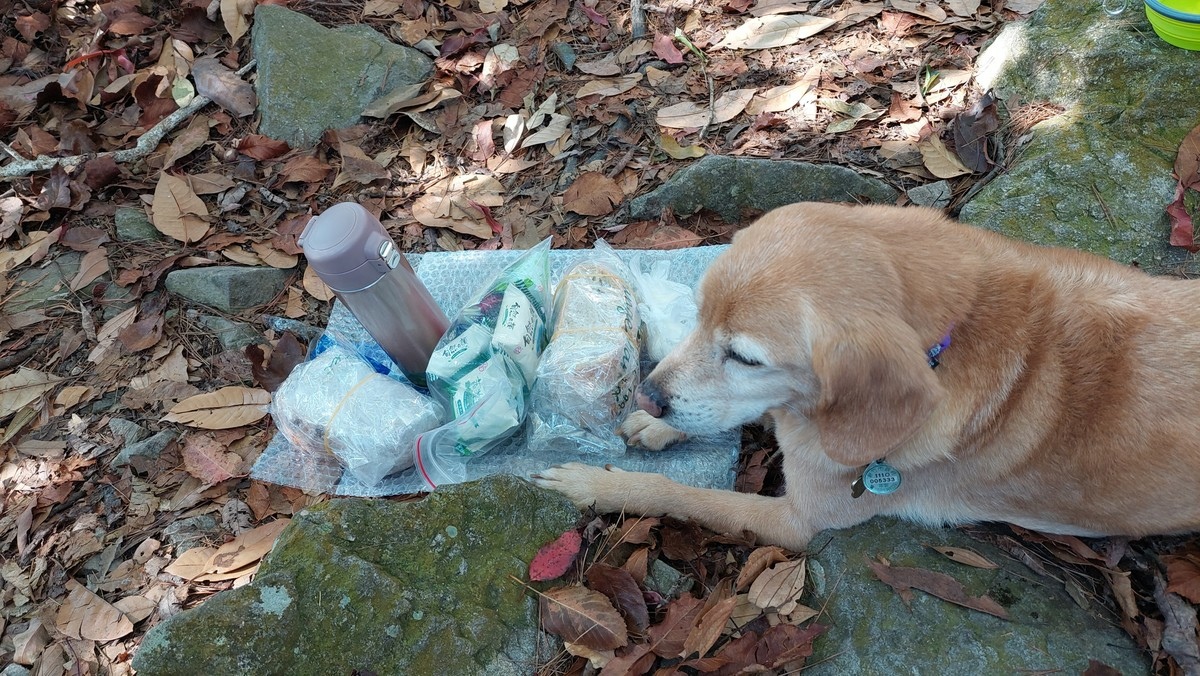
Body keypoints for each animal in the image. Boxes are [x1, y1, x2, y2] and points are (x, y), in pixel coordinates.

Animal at [535, 200, 1200, 549]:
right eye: (696, 316)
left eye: (746, 357)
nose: (648, 395)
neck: (950, 338)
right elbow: (752, 411)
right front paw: (657, 427)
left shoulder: (795, 521)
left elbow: (684, 495)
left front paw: (599, 483)